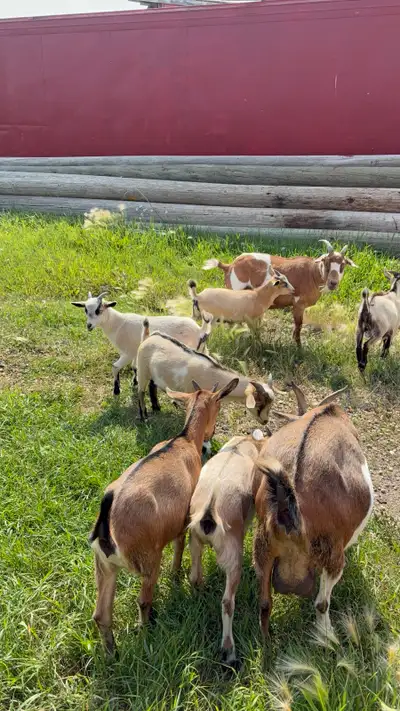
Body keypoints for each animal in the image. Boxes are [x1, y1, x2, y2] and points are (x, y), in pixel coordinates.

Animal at [71, 291, 212, 395]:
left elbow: (115, 367)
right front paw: (135, 382)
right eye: (85, 310)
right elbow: (135, 367)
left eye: (98, 310)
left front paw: (116, 391)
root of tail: (200, 329)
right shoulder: (135, 352)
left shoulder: (127, 353)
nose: (89, 326)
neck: (117, 324)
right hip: (202, 350)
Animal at [90, 378, 238, 653]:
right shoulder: (184, 520)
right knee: (142, 600)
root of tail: (107, 520)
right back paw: (146, 632)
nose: (211, 433)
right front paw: (176, 574)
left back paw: (112, 653)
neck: (184, 441)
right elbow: (180, 545)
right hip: (148, 558)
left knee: (101, 615)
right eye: (220, 405)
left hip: (103, 566)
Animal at [137, 321, 277, 425]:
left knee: (152, 385)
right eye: (258, 403)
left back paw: (156, 408)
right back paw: (144, 417)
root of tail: (149, 337)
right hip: (142, 369)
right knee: (140, 391)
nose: (265, 421)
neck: (211, 373)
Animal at [189, 429, 265, 665]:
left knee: (193, 575)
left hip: (194, 539)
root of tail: (209, 511)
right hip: (233, 558)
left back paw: (199, 592)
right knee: (227, 602)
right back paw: (229, 651)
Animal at [203, 240, 357, 345]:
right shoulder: (298, 304)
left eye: (343, 264)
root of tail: (229, 266)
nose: (333, 283)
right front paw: (298, 347)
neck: (312, 273)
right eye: (326, 262)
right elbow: (298, 325)